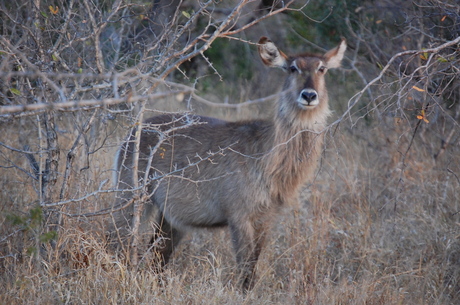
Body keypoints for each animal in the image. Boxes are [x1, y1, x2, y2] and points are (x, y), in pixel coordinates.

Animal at [112, 36, 344, 290]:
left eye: (322, 69)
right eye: (292, 68)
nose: (309, 95)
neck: (267, 157)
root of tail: (132, 134)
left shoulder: (266, 217)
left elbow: (254, 262)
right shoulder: (239, 215)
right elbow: (245, 268)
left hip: (171, 216)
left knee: (157, 255)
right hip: (131, 197)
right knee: (117, 241)